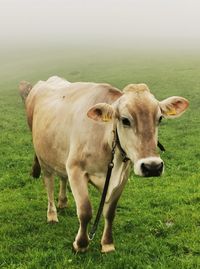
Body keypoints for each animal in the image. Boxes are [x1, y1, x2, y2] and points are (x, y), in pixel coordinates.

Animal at [19, 76, 189, 252]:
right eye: (125, 120)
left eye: (160, 118)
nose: (152, 167)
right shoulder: (75, 169)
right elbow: (85, 211)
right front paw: (81, 244)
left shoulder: (122, 176)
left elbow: (110, 212)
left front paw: (107, 244)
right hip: (43, 157)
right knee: (49, 184)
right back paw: (52, 214)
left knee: (62, 177)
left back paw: (63, 202)